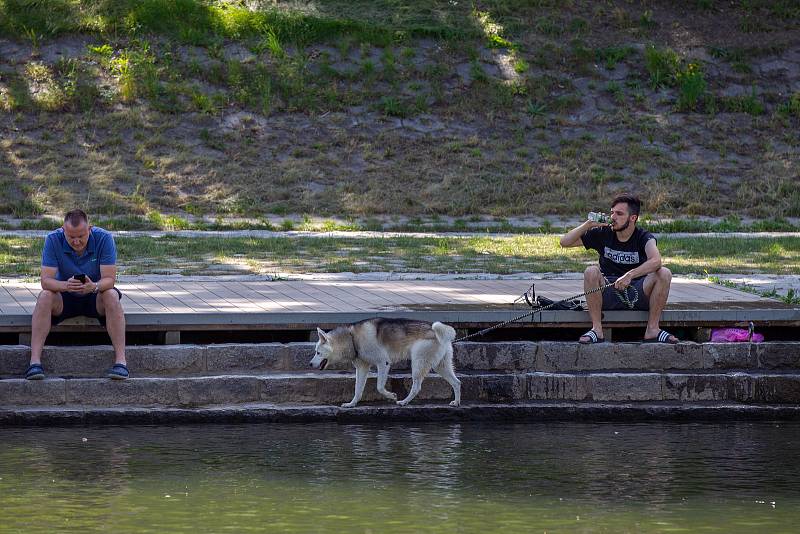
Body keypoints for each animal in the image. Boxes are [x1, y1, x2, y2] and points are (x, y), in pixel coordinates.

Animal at [310, 320, 460, 408]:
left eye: (318, 352)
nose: (310, 364)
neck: (352, 338)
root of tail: (435, 330)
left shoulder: (383, 363)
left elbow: (379, 387)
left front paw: (391, 396)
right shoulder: (362, 368)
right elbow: (358, 390)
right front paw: (352, 404)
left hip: (418, 364)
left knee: (416, 387)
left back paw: (404, 401)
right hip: (441, 366)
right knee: (457, 382)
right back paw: (456, 402)